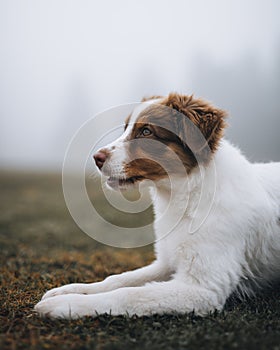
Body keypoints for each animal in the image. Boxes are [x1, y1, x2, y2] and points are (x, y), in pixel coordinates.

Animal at [35, 92, 280, 318]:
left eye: (146, 132)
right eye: (126, 127)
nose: (96, 158)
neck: (186, 197)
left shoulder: (203, 288)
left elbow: (130, 294)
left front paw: (65, 304)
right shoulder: (166, 262)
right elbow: (118, 279)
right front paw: (69, 290)